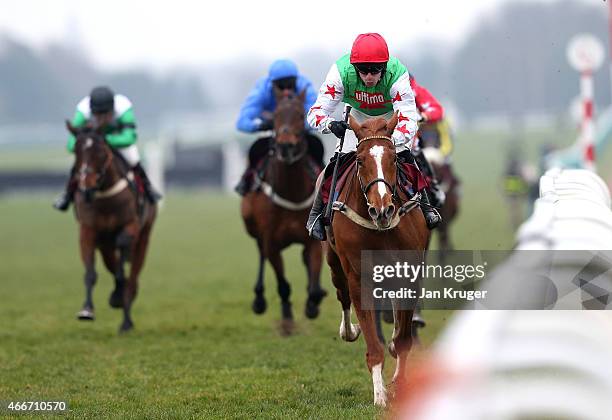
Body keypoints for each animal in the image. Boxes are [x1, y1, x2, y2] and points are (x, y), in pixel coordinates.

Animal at [65, 120, 157, 332]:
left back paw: (126, 317)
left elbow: (123, 259)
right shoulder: (88, 231)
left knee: (133, 273)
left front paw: (123, 309)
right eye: (76, 150)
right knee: (112, 264)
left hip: (144, 237)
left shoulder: (131, 225)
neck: (105, 196)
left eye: (101, 151)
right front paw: (87, 310)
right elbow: (91, 273)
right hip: (104, 244)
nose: (87, 185)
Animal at [239, 88, 326, 334]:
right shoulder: (271, 241)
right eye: (276, 115)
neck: (292, 192)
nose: (286, 145)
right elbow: (283, 284)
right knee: (261, 254)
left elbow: (313, 281)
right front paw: (287, 318)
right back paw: (259, 299)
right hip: (254, 230)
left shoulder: (313, 239)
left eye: (300, 115)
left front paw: (313, 303)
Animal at [326, 113, 430, 406]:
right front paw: (380, 395)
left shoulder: (410, 271)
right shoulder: (358, 277)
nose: (382, 209)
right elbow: (373, 345)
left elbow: (404, 338)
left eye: (393, 158)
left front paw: (401, 383)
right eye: (361, 161)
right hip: (334, 260)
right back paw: (348, 330)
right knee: (342, 294)